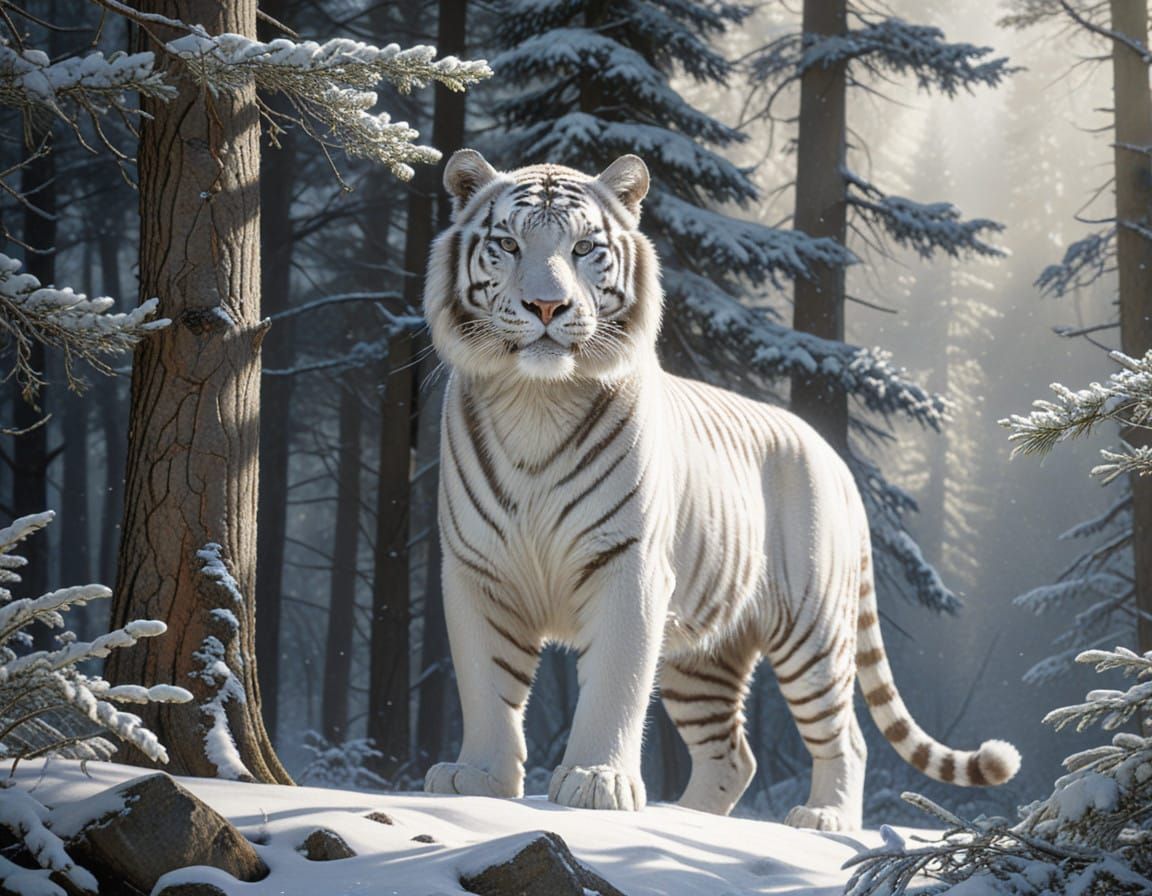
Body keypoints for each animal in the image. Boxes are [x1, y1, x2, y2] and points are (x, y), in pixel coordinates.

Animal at [421, 148, 1020, 830]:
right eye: (508, 244)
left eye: (584, 248)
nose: (547, 307)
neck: (537, 398)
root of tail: (833, 458)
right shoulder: (477, 568)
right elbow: (486, 682)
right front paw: (478, 779)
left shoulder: (627, 564)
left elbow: (614, 683)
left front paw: (597, 782)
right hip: (701, 656)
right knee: (733, 755)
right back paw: (689, 820)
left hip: (812, 629)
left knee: (846, 737)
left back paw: (824, 818)